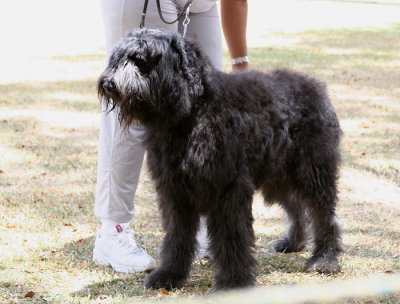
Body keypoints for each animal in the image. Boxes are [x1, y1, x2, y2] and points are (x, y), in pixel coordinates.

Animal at [98, 29, 342, 292]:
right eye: (118, 58)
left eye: (141, 59)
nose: (109, 83)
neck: (194, 111)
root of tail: (314, 85)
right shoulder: (174, 191)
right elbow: (177, 235)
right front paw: (169, 275)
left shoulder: (228, 189)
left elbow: (230, 236)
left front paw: (234, 281)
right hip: (278, 176)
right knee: (295, 206)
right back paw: (293, 242)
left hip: (313, 171)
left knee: (323, 215)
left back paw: (325, 259)